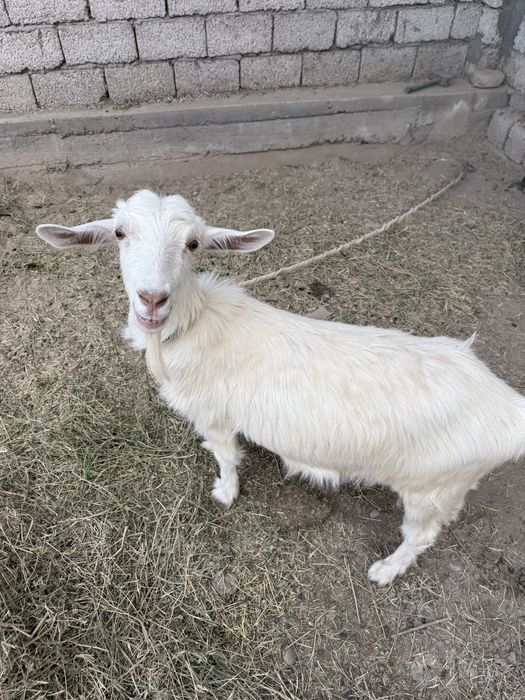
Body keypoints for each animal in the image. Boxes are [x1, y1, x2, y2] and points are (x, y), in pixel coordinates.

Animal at [36, 189, 525, 585]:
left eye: (193, 244)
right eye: (120, 233)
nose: (152, 300)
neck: (195, 324)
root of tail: (508, 409)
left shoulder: (214, 415)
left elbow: (227, 457)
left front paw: (225, 492)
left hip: (433, 488)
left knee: (422, 535)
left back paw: (386, 570)